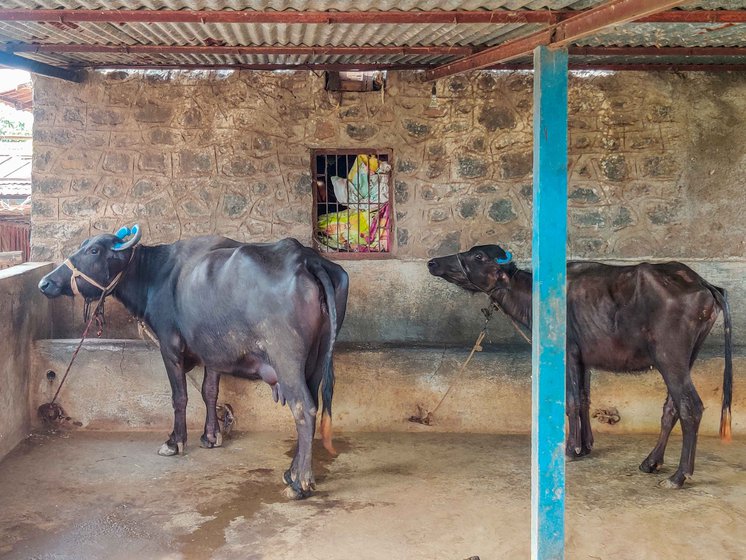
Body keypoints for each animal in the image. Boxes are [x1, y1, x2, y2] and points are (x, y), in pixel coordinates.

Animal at [42, 225, 350, 496]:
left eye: (94, 250)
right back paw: (291, 471)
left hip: (287, 359)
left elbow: (180, 397)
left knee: (304, 409)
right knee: (313, 404)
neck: (155, 275)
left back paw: (300, 483)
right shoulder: (212, 353)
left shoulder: (170, 347)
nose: (45, 282)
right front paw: (210, 436)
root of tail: (306, 259)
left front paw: (174, 441)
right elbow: (209, 391)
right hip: (317, 359)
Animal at [428, 243, 728, 488]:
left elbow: (571, 402)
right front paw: (586, 446)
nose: (433, 262)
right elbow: (584, 399)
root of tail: (704, 284)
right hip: (686, 358)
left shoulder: (569, 353)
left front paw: (571, 449)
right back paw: (651, 462)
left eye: (478, 256)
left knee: (691, 407)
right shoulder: (584, 360)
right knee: (671, 408)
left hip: (669, 357)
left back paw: (678, 476)